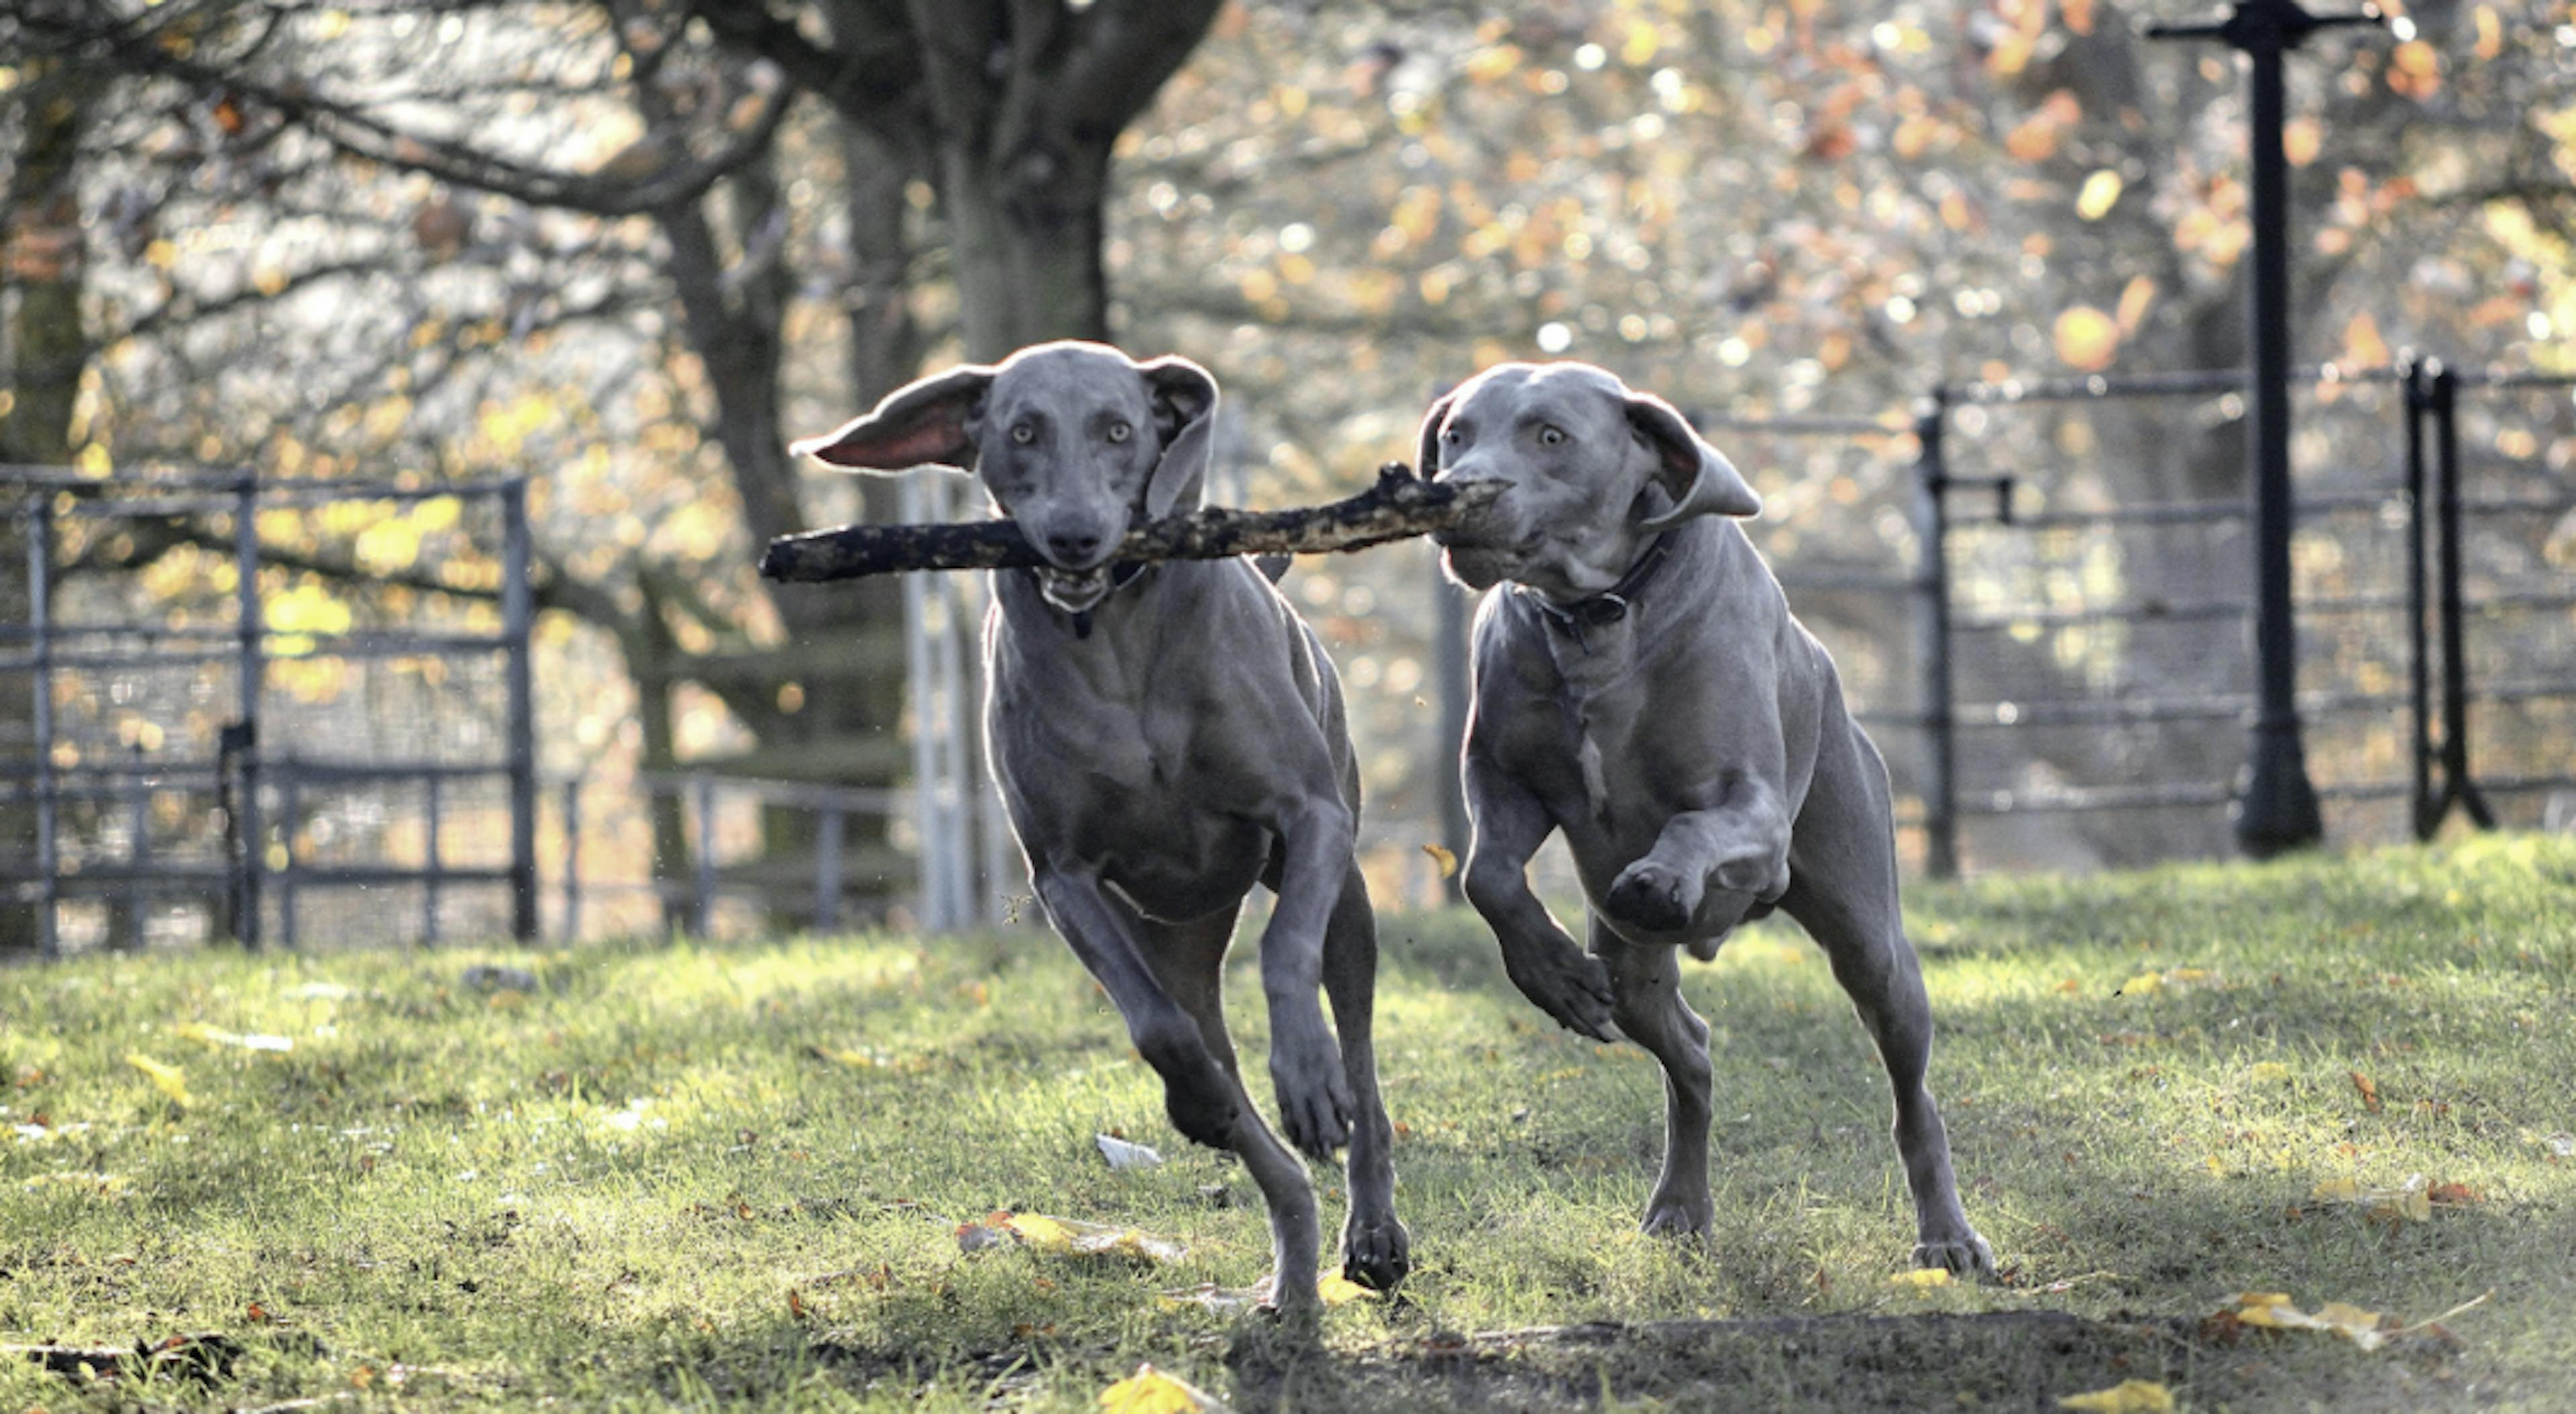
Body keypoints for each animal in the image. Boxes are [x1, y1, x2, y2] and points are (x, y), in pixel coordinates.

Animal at [798, 342, 1411, 1313]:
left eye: (1120, 430)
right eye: (1022, 431)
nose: (1077, 535)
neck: (1115, 636)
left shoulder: (1308, 816)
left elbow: (1286, 951)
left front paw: (1306, 1072)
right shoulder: (1065, 875)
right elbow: (1158, 1030)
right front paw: (1201, 1098)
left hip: (1345, 890)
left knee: (1360, 1051)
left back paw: (1371, 1226)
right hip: (1180, 942)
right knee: (1222, 1074)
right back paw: (1287, 1262)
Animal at [1421, 358, 1978, 1272]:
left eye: (1551, 435)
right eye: (1456, 435)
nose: (1452, 493)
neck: (1597, 617)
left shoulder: (1755, 810)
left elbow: (1695, 823)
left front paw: (1661, 876)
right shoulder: (1503, 778)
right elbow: (1488, 873)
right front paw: (1551, 971)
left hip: (1872, 937)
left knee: (1911, 1093)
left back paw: (1948, 1235)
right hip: (1632, 974)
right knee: (1692, 1055)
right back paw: (1680, 1202)